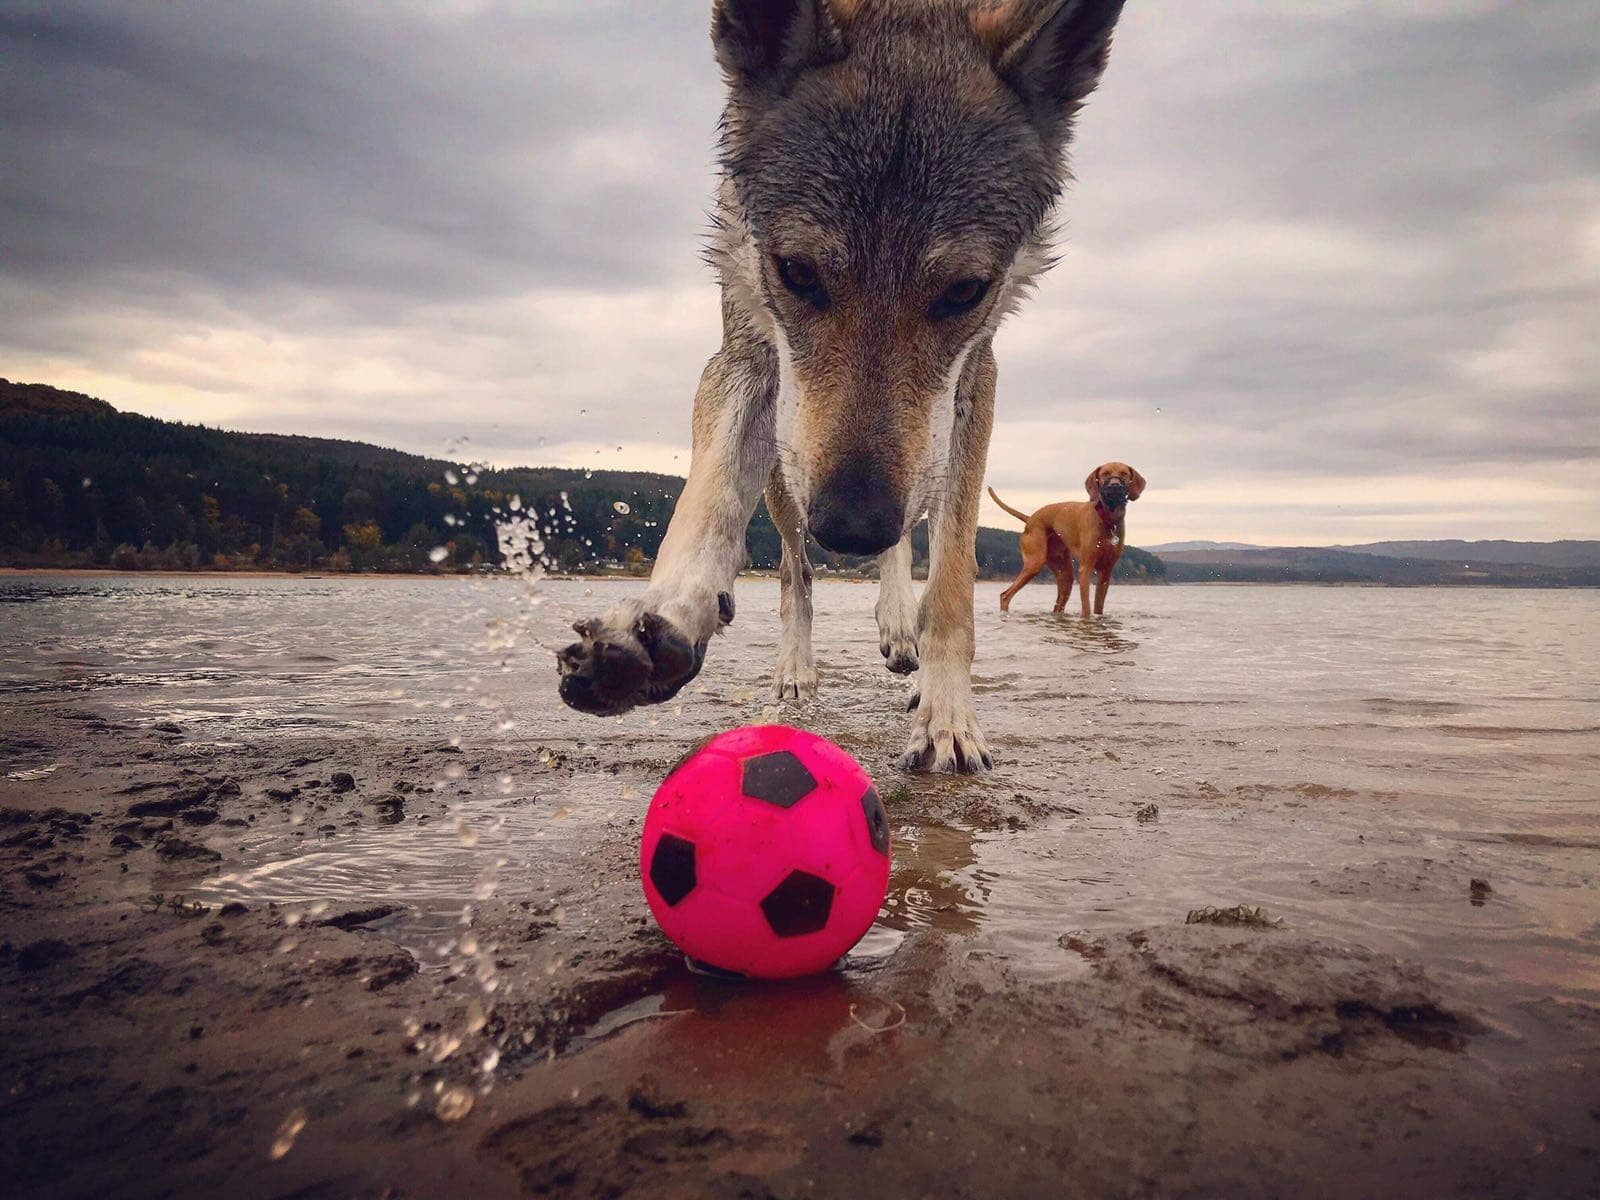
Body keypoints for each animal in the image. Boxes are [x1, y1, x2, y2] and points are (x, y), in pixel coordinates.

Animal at [557, 0, 1128, 773]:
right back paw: (796, 667)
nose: (852, 527)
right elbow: (708, 506)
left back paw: (899, 624)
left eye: (964, 291)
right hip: (786, 473)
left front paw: (948, 716)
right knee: (795, 573)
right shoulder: (744, 358)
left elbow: (951, 582)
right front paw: (663, 623)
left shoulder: (972, 382)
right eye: (796, 272)